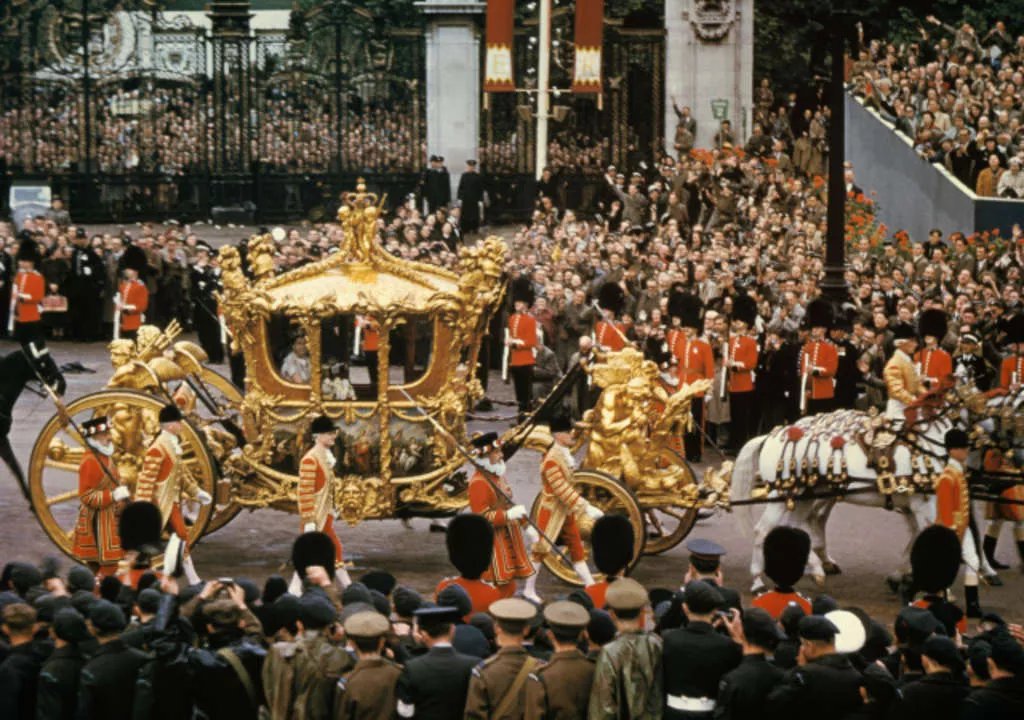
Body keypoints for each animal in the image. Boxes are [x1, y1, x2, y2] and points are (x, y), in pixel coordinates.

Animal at [733, 389, 1003, 589]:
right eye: (988, 409)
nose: (1001, 445)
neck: (927, 446)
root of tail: (771, 435)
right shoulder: (924, 504)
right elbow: (943, 537)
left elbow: (954, 538)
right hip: (784, 495)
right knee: (762, 530)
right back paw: (758, 581)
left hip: (803, 496)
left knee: (794, 526)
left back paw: (814, 567)